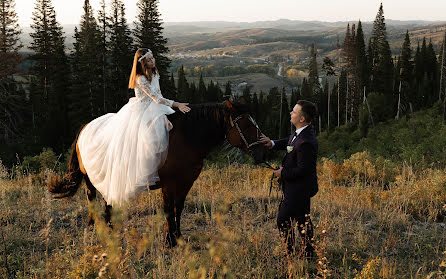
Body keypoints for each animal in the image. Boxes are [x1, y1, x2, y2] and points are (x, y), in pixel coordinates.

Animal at [47, 100, 266, 247]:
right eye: (246, 124)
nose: (263, 151)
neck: (185, 138)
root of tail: (86, 127)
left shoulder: (186, 182)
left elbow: (179, 208)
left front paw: (177, 236)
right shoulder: (169, 184)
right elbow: (169, 209)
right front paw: (169, 240)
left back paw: (109, 227)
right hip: (89, 178)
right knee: (91, 197)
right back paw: (93, 226)